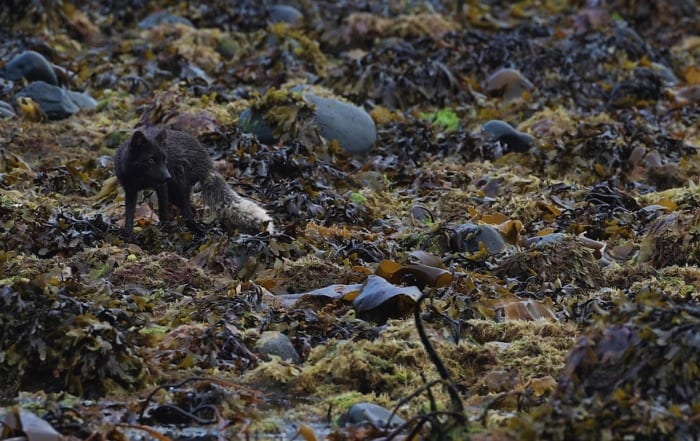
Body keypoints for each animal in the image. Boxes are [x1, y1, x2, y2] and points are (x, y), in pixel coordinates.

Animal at [114, 126, 274, 237]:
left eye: (165, 159)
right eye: (151, 160)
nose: (168, 177)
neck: (140, 178)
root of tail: (208, 162)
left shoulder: (161, 187)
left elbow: (163, 211)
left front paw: (164, 228)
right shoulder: (130, 189)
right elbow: (129, 213)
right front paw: (128, 235)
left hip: (180, 187)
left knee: (188, 212)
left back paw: (194, 229)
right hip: (175, 193)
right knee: (191, 209)